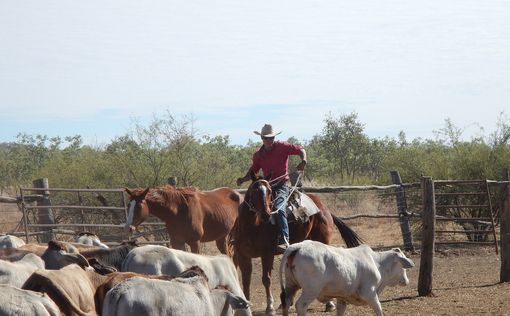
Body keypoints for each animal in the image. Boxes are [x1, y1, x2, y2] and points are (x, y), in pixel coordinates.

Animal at [232, 173, 362, 314]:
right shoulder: (243, 255)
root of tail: (323, 208)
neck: (252, 226)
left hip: (323, 240)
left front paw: (270, 307)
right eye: (255, 190)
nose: (266, 215)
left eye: (270, 191)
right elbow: (246, 280)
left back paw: (330, 303)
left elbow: (266, 279)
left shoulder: (267, 253)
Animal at [278, 241, 414, 314]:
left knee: (286, 303)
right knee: (300, 306)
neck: (377, 262)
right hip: (311, 290)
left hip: (291, 286)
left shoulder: (342, 299)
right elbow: (379, 310)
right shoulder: (370, 294)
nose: (407, 281)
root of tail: (299, 246)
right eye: (403, 266)